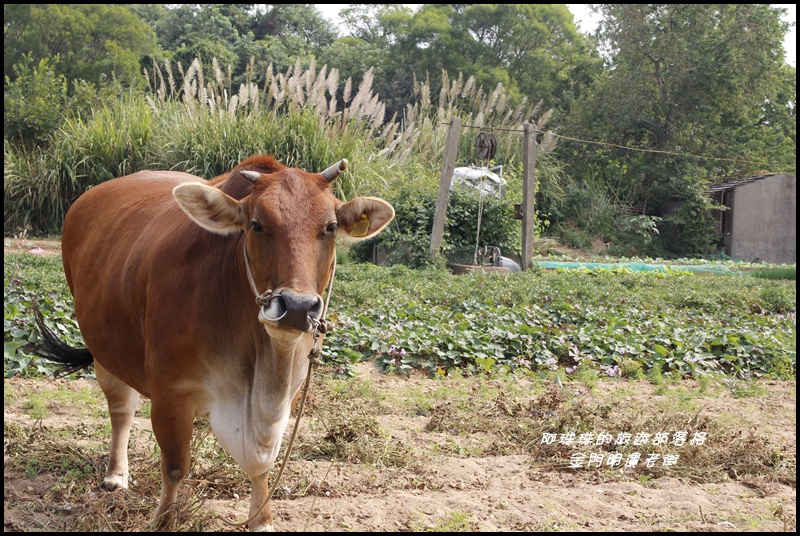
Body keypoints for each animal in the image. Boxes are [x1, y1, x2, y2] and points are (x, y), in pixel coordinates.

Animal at [32, 156, 396, 532]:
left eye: (330, 226)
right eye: (256, 225)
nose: (296, 307)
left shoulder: (286, 395)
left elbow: (262, 466)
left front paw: (261, 520)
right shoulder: (171, 393)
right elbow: (175, 466)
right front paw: (164, 521)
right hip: (104, 352)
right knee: (121, 410)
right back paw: (116, 475)